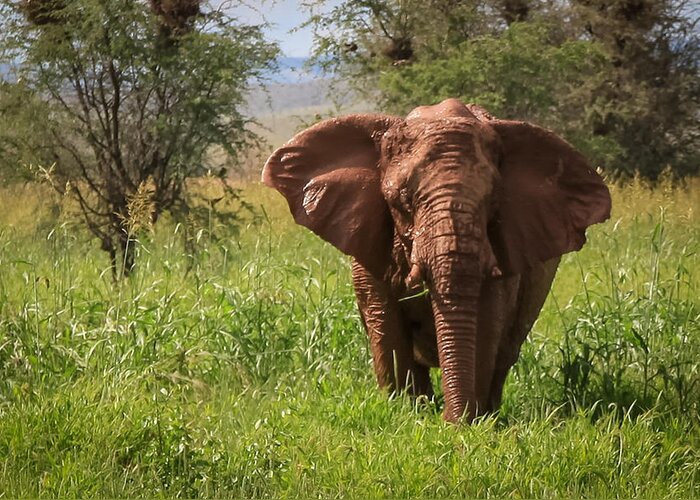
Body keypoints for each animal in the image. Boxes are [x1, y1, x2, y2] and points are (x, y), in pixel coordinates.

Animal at [262, 99, 612, 424]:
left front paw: (470, 421)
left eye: (493, 201)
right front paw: (410, 414)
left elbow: (487, 321)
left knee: (506, 350)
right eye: (402, 201)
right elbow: (385, 322)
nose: (450, 421)